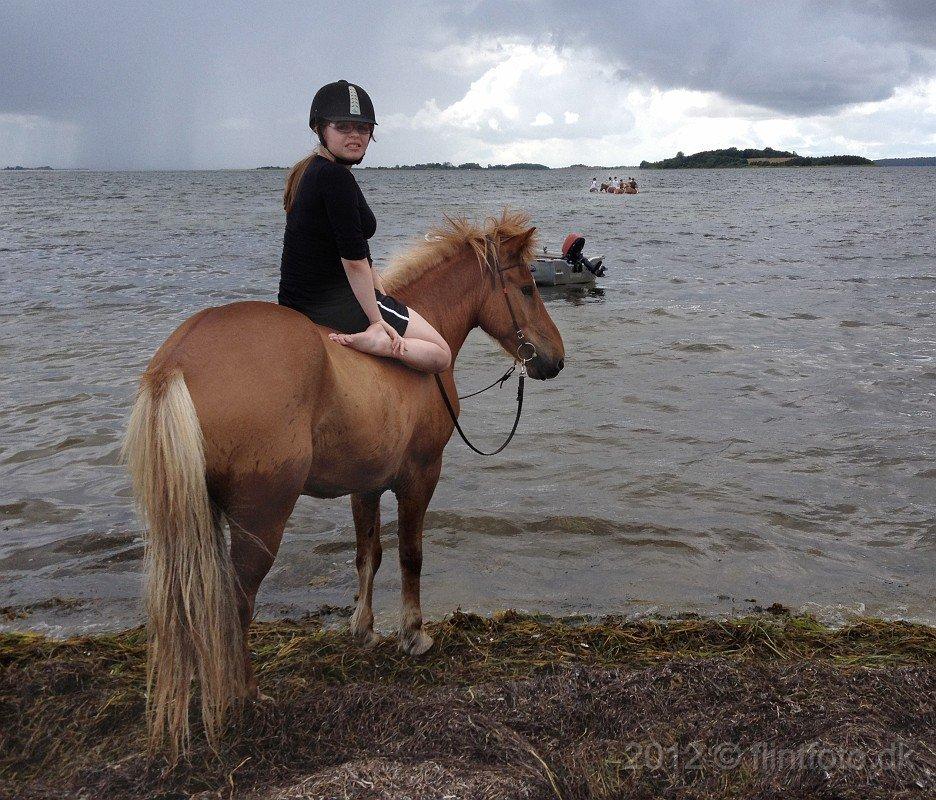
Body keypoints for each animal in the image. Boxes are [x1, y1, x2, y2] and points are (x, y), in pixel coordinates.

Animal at [122, 211, 564, 756]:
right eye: (527, 287)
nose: (555, 358)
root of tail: (176, 362)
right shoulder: (420, 475)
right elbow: (410, 554)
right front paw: (412, 633)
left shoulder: (366, 484)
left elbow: (367, 554)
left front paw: (364, 628)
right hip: (261, 518)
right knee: (237, 601)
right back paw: (247, 694)